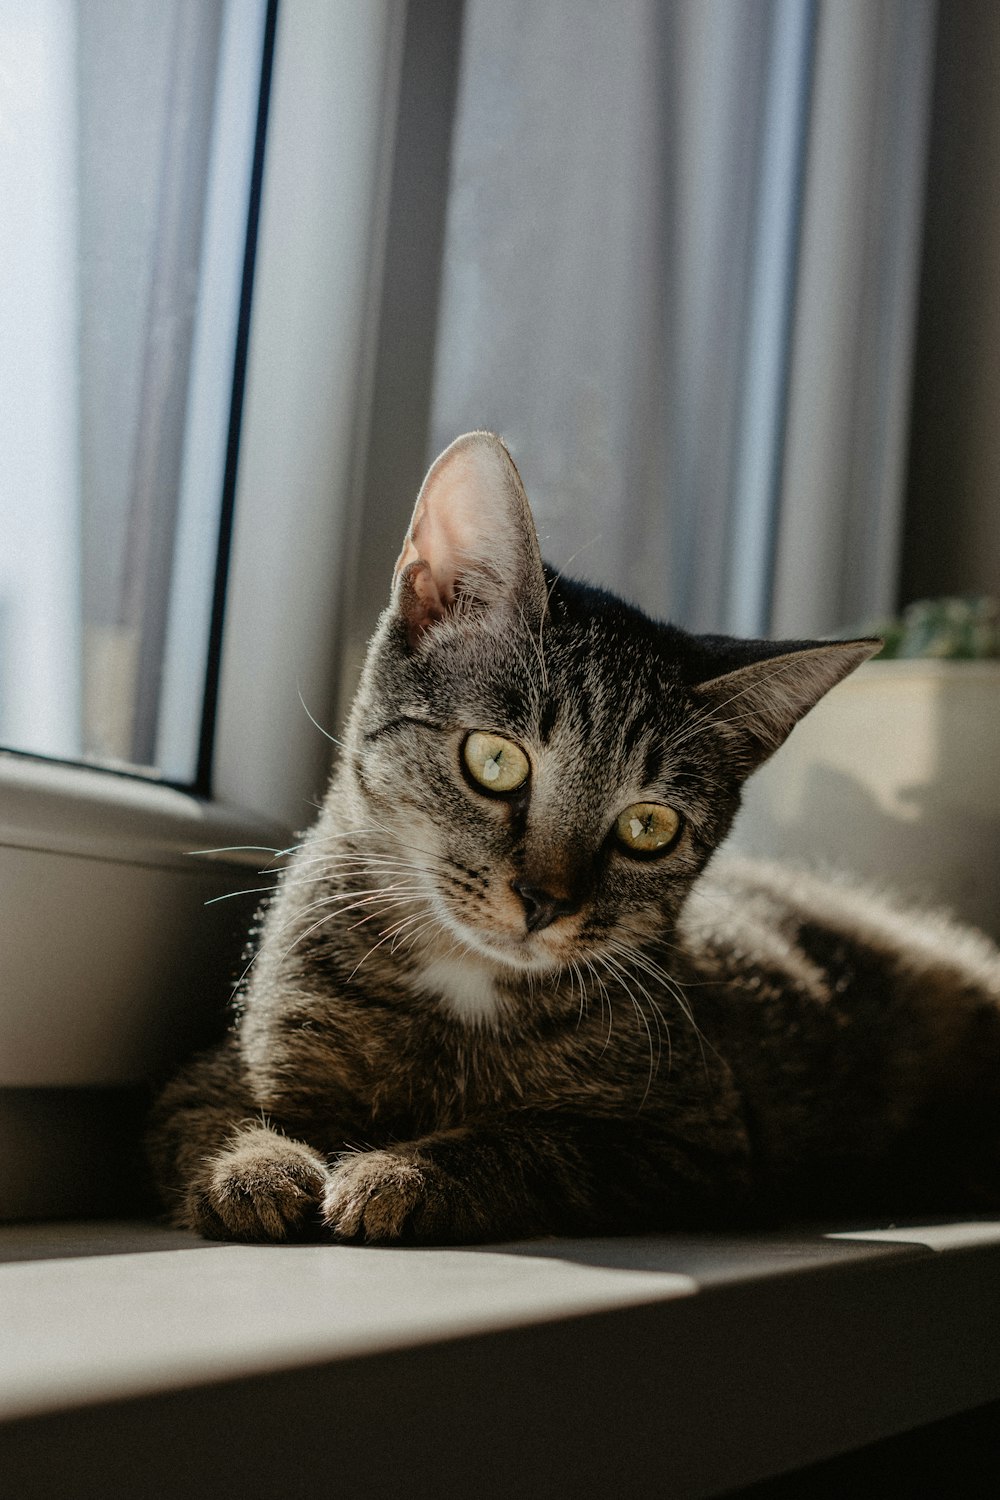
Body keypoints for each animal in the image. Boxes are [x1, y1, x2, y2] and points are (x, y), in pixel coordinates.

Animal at [146, 432, 1000, 1242]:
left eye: (649, 826)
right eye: (494, 761)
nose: (543, 901)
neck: (465, 990)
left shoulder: (694, 1143)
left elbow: (534, 1142)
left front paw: (405, 1173)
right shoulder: (217, 1070)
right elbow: (213, 1114)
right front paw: (255, 1168)